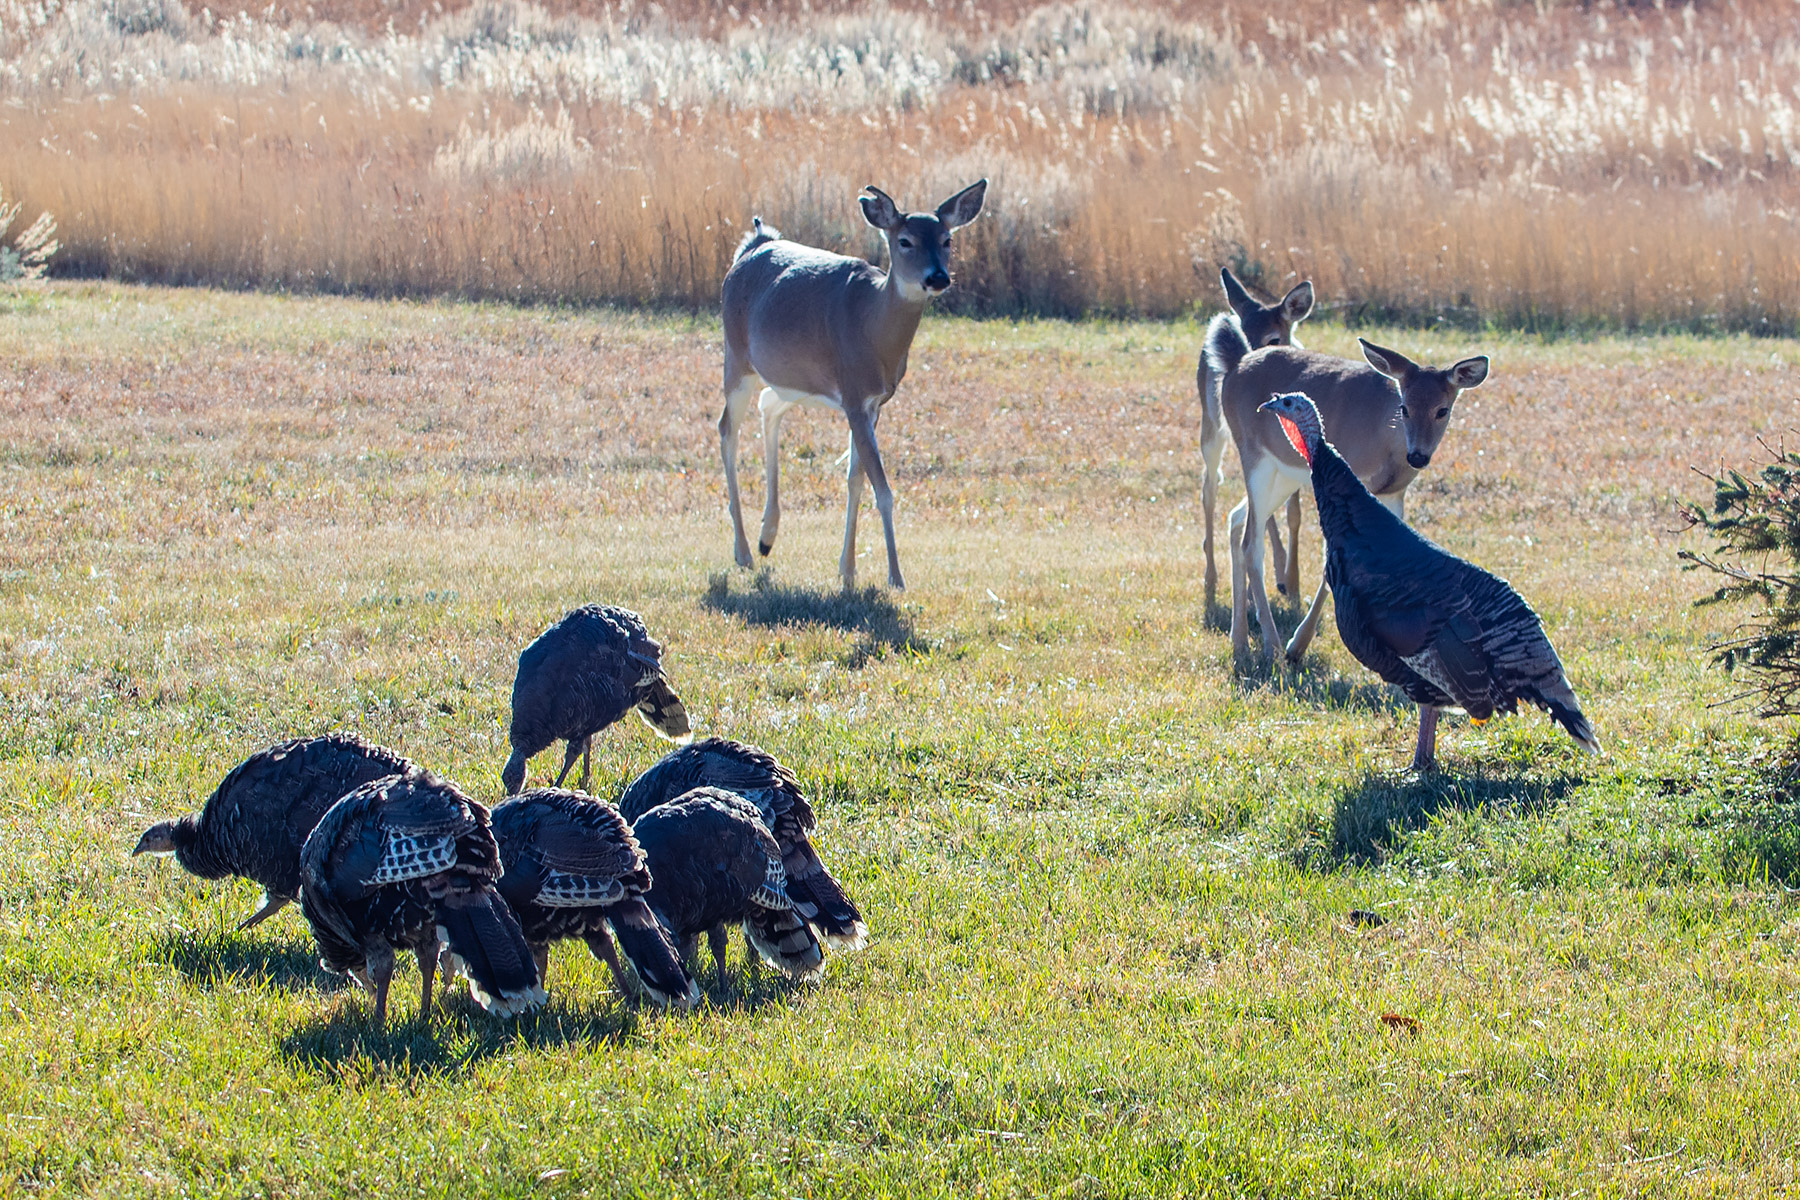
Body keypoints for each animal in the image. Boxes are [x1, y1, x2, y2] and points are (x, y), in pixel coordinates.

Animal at [718, 179, 988, 591]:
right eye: (905, 240)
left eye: (947, 240)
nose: (938, 277)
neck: (872, 325)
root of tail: (753, 244)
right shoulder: (854, 394)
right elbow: (882, 488)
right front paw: (895, 576)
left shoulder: (874, 403)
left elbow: (855, 480)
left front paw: (847, 569)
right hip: (736, 357)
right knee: (726, 431)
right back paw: (744, 551)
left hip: (791, 379)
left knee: (768, 406)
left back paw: (767, 537)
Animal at [1197, 266, 1315, 611]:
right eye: (1240, 330)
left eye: (1273, 338)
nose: (1244, 366)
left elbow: (1293, 513)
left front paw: (1293, 582)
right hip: (1213, 426)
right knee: (1209, 488)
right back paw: (1212, 576)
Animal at [1216, 336, 1490, 666]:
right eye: (1404, 408)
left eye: (1443, 410)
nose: (1418, 456)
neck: (1386, 442)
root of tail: (1233, 370)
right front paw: (1298, 645)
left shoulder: (1394, 495)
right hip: (1255, 456)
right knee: (1251, 543)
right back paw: (1273, 646)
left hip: (1284, 474)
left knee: (1235, 518)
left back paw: (1240, 641)